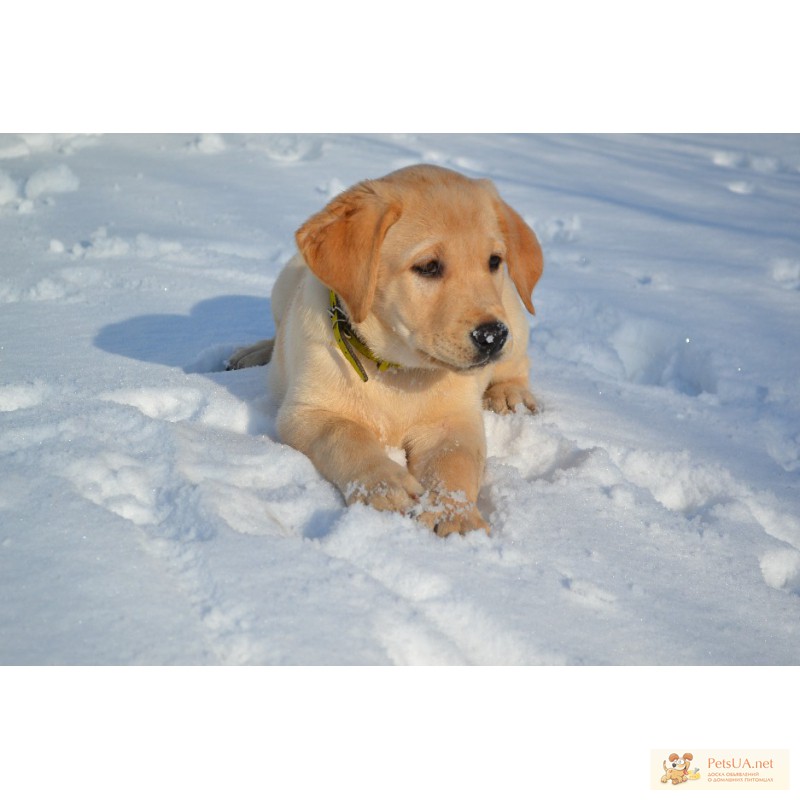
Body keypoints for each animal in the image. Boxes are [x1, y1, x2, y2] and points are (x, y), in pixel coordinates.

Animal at [230, 165, 544, 536]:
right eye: (428, 266)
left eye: (494, 261)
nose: (492, 336)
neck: (398, 370)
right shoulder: (306, 411)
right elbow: (345, 434)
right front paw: (387, 487)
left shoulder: (453, 422)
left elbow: (455, 462)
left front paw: (455, 515)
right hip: (283, 284)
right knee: (277, 331)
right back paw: (251, 354)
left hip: (514, 311)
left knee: (518, 362)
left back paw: (510, 395)